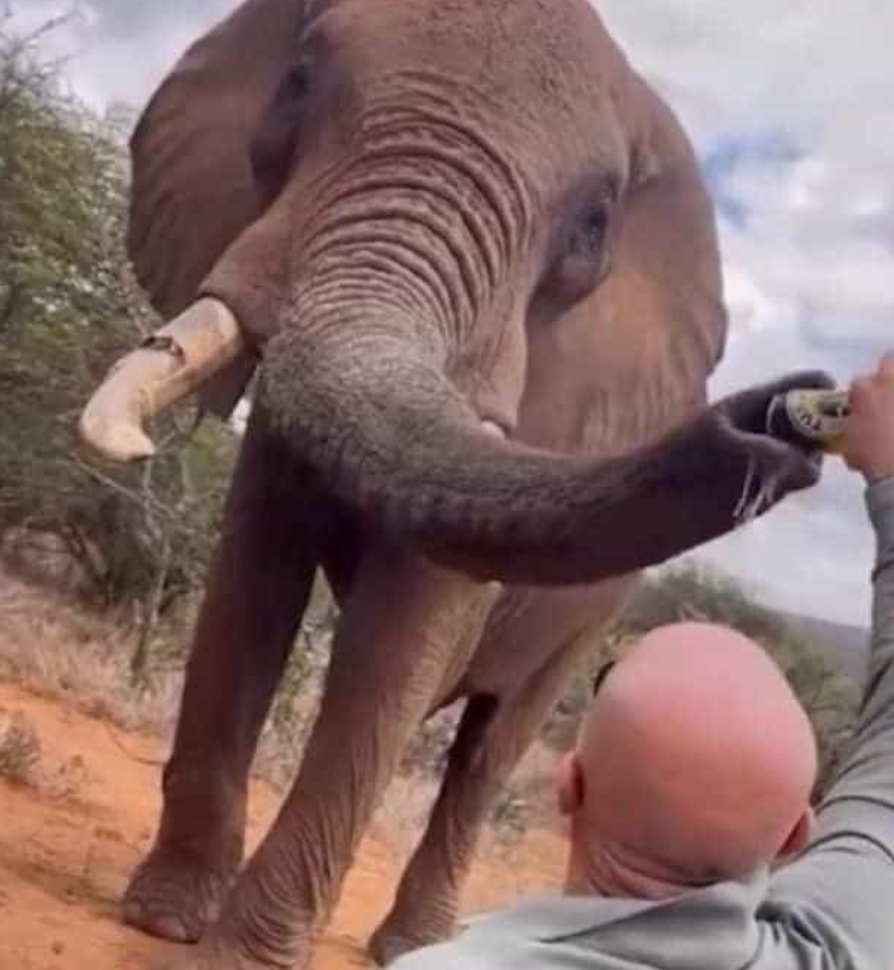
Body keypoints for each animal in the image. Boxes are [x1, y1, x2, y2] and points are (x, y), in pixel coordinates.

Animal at [78, 0, 830, 968]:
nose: (784, 418)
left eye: (594, 225)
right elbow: (251, 580)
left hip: (597, 617)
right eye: (297, 83)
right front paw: (163, 919)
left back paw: (410, 944)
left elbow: (401, 637)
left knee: (492, 745)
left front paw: (239, 955)